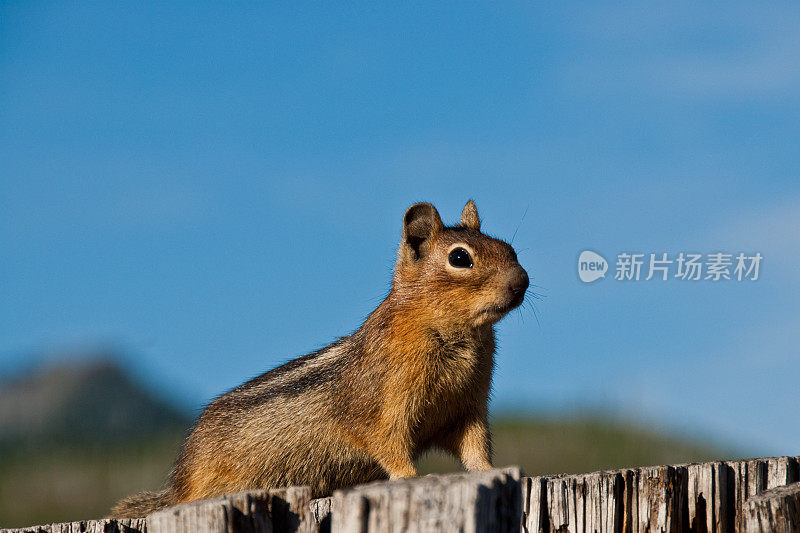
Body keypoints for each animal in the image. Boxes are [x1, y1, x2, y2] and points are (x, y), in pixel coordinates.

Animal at [112, 200, 524, 516]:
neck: (459, 335)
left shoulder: (466, 407)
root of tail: (177, 490)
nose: (522, 281)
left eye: (510, 249)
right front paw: (412, 478)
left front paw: (491, 470)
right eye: (460, 257)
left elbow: (475, 447)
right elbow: (389, 445)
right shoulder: (385, 406)